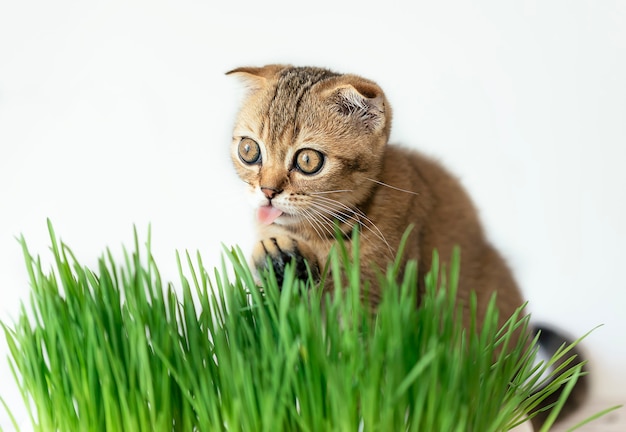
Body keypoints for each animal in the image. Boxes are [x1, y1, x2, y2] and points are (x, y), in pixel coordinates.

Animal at [225, 64, 584, 426]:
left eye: (308, 160)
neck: (319, 232)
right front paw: (273, 252)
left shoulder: (375, 298)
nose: (267, 191)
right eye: (249, 151)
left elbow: (360, 362)